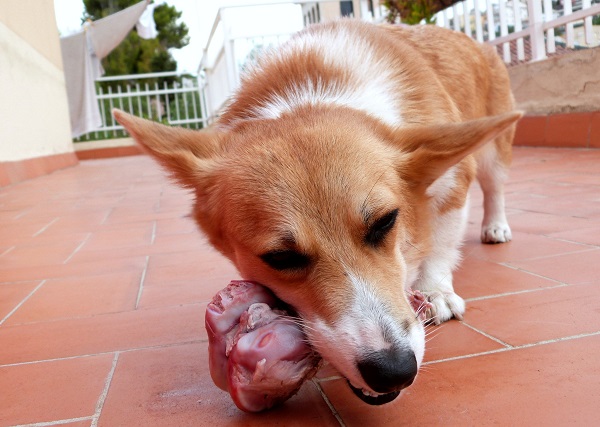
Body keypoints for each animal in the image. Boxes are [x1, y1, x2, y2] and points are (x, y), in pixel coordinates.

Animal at [113, 19, 520, 408]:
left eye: (385, 222)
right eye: (280, 257)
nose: (393, 371)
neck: (309, 95)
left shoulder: (454, 179)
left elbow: (441, 243)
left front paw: (436, 292)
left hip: (493, 152)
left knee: (495, 186)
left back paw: (496, 227)